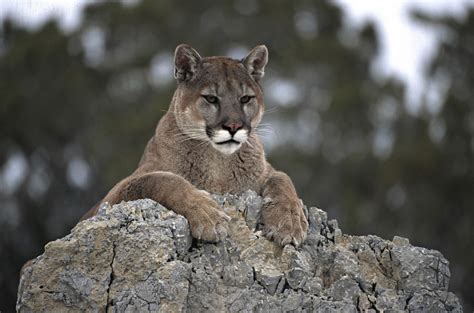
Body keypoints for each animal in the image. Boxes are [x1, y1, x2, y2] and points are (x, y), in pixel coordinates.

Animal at [82, 44, 308, 246]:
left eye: (245, 98)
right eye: (211, 98)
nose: (233, 126)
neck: (219, 164)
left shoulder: (265, 172)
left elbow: (283, 178)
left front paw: (289, 222)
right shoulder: (116, 194)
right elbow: (163, 179)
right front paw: (208, 215)